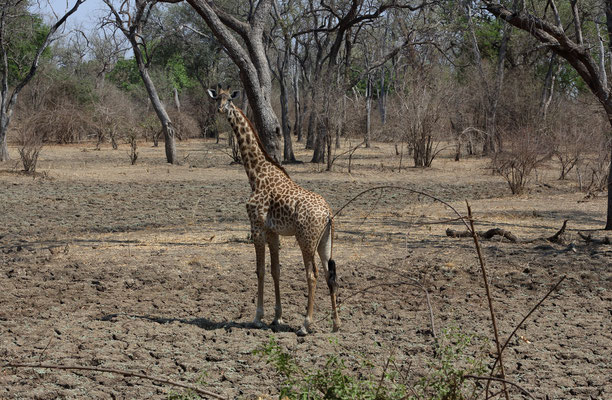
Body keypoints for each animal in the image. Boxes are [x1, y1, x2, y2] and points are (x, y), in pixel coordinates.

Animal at [207, 87, 340, 334]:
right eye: (217, 98)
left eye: (229, 99)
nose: (220, 110)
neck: (256, 175)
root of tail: (327, 213)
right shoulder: (273, 232)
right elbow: (275, 270)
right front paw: (277, 317)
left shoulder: (257, 226)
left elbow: (260, 270)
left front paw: (258, 317)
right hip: (325, 241)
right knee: (330, 274)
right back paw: (336, 324)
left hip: (306, 240)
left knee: (312, 274)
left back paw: (305, 324)